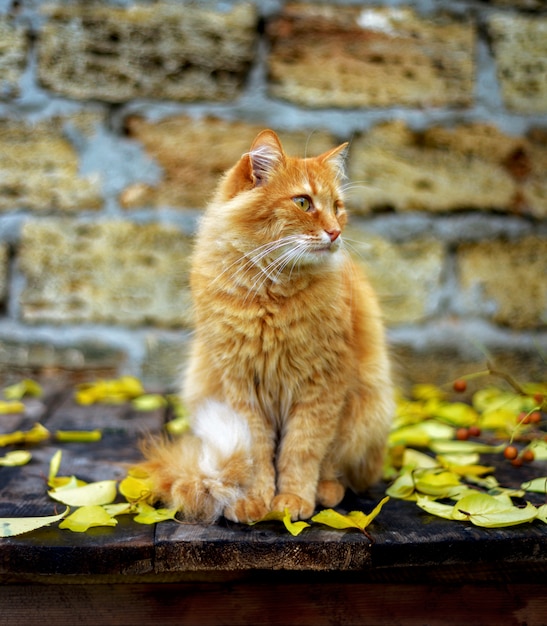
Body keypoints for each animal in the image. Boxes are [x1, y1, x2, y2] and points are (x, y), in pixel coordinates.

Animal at [142, 130, 394, 520]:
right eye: (304, 203)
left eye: (337, 206)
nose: (335, 232)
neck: (271, 292)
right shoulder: (242, 389)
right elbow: (257, 455)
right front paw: (254, 500)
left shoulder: (322, 387)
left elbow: (301, 450)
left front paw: (292, 499)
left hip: (368, 411)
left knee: (337, 468)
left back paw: (326, 492)